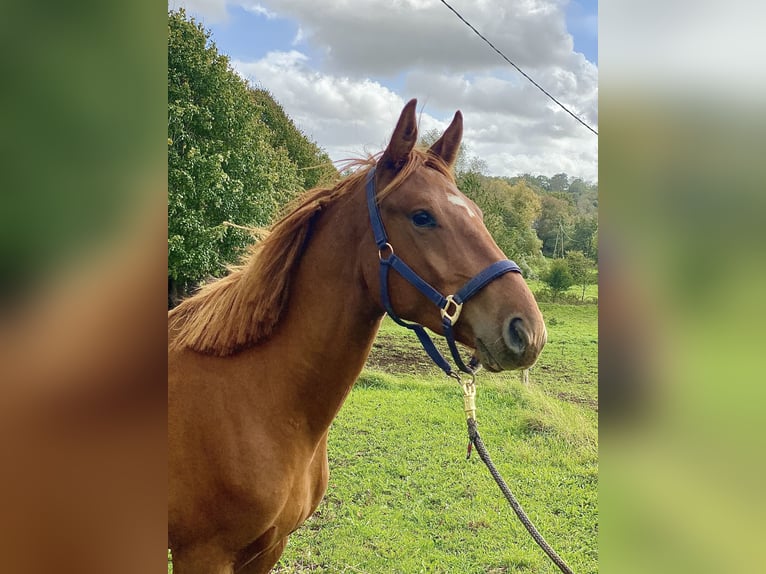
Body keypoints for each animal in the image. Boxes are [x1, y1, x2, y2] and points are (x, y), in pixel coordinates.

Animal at [168, 99, 547, 573]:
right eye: (423, 216)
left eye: (477, 214)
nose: (528, 330)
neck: (255, 398)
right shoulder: (203, 555)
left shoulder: (268, 548)